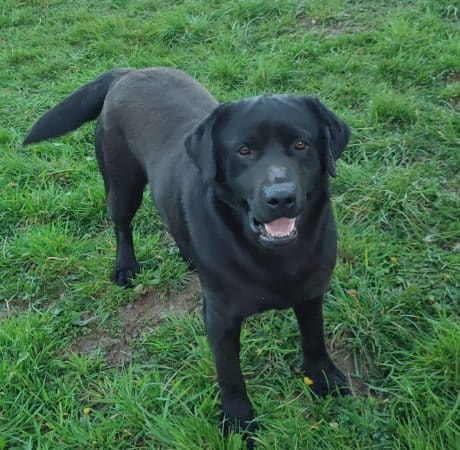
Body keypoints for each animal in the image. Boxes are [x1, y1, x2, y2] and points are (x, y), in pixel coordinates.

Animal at [24, 68, 348, 438]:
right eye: (244, 150)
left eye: (300, 144)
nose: (280, 197)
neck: (275, 257)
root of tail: (130, 71)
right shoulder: (220, 317)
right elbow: (230, 374)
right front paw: (238, 421)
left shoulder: (311, 293)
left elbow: (314, 337)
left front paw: (323, 377)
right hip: (121, 185)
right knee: (122, 225)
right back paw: (125, 266)